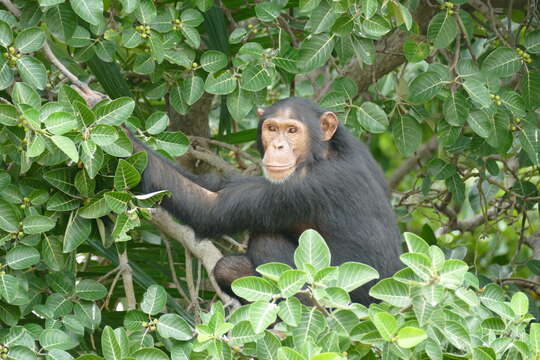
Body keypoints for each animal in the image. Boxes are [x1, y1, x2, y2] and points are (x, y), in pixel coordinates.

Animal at [129, 96, 402, 304]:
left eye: (292, 130)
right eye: (272, 129)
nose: (279, 146)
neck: (322, 153)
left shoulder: (304, 186)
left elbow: (212, 206)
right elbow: (218, 185)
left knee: (265, 242)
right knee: (230, 268)